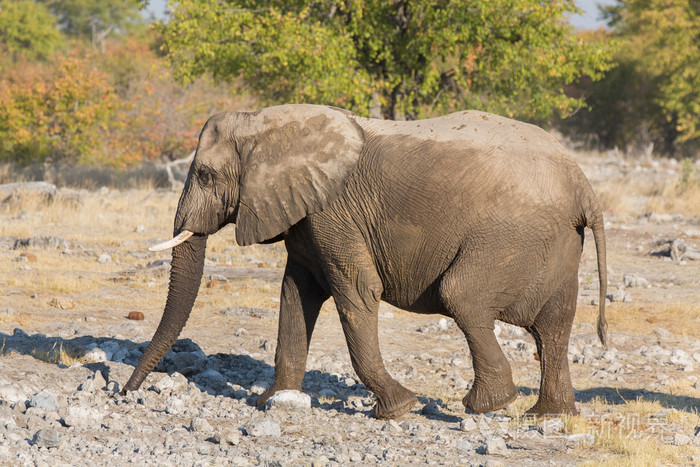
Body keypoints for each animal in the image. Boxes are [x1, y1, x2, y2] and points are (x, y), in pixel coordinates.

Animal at [123, 104, 607, 419]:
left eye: (205, 176)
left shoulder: (332, 213)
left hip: (510, 235)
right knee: (554, 325)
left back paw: (487, 405)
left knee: (462, 296)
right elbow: (295, 295)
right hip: (556, 243)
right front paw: (269, 404)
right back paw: (548, 415)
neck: (266, 123)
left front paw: (399, 409)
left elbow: (356, 291)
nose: (125, 393)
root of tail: (582, 184)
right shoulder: (306, 216)